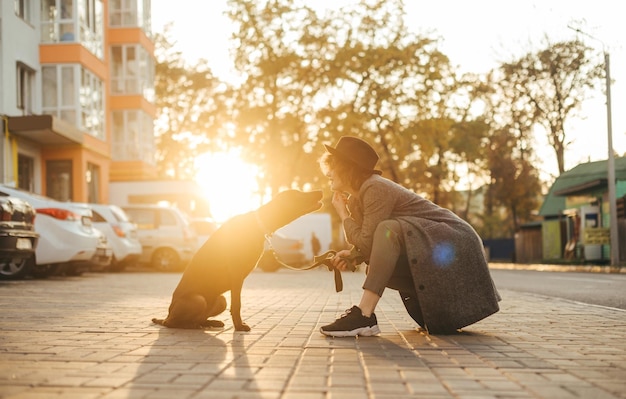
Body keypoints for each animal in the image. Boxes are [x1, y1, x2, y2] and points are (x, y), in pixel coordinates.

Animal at [151, 190, 322, 332]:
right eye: (299, 194)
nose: (320, 191)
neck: (257, 223)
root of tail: (167, 314)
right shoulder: (236, 275)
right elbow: (237, 304)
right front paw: (239, 326)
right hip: (198, 300)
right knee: (171, 323)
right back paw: (191, 325)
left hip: (220, 300)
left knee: (200, 317)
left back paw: (209, 323)